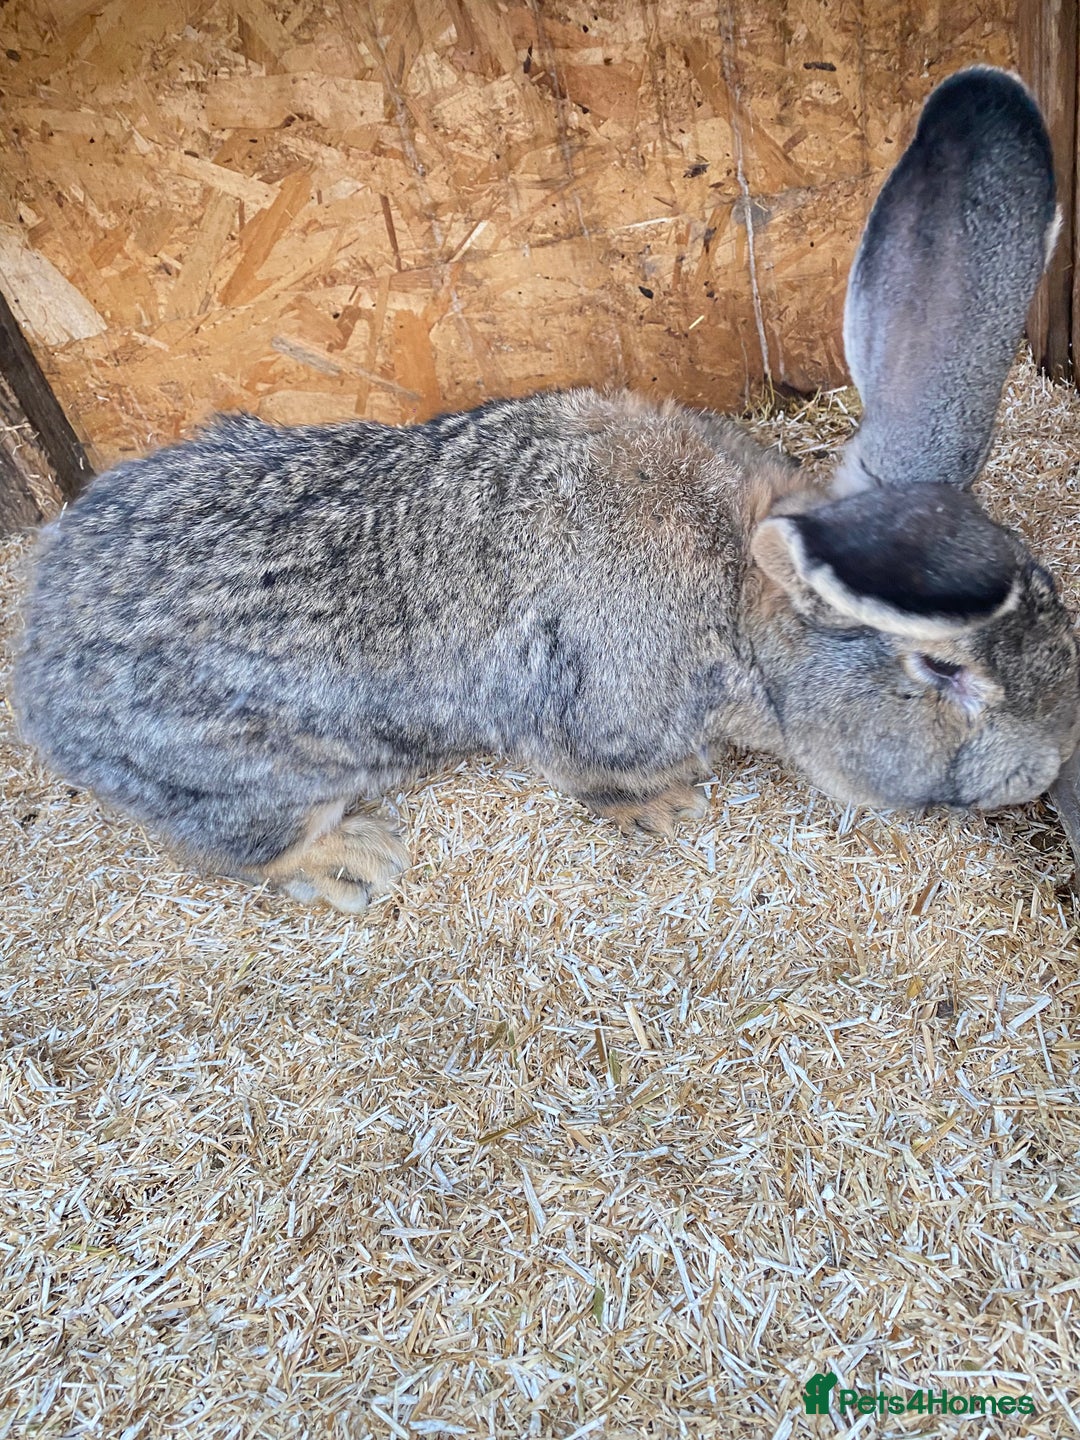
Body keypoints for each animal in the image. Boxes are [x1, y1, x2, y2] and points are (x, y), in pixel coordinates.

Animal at [11, 66, 1080, 913]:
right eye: (942, 672)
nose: (1044, 766)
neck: (738, 598)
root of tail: (37, 667)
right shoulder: (591, 725)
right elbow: (597, 778)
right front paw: (669, 808)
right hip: (255, 777)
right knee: (242, 844)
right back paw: (354, 859)